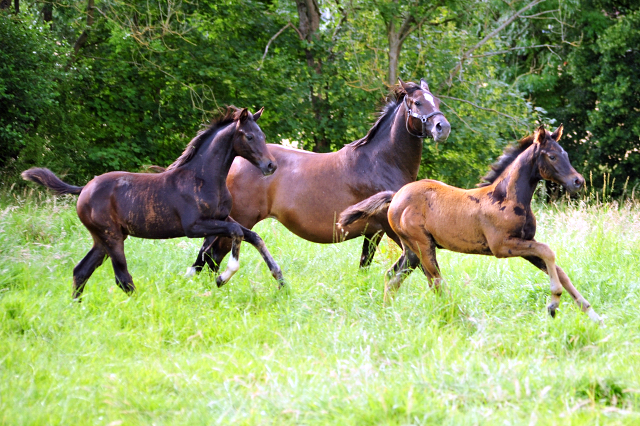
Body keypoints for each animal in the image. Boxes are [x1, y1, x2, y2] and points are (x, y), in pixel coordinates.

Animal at [22, 106, 284, 300]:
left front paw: (280, 278)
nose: (271, 165)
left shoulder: (221, 217)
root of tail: (84, 189)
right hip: (112, 237)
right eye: (249, 136)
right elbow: (236, 232)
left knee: (81, 271)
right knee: (122, 278)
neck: (204, 178)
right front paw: (223, 277)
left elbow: (252, 235)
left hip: (103, 238)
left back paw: (77, 307)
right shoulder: (194, 226)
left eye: (263, 136)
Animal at [188, 78, 452, 274]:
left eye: (437, 101)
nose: (443, 127)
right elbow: (423, 266)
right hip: (240, 221)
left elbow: (365, 266)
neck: (381, 163)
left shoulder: (373, 233)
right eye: (417, 102)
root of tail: (233, 163)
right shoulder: (392, 229)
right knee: (212, 257)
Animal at [342, 125, 604, 324]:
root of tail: (396, 195)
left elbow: (559, 270)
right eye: (551, 156)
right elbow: (548, 252)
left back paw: (388, 314)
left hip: (411, 250)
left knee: (393, 277)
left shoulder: (525, 244)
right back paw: (460, 317)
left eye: (565, 154)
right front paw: (553, 303)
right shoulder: (503, 246)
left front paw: (593, 315)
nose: (578, 181)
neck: (506, 197)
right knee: (434, 281)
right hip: (423, 245)